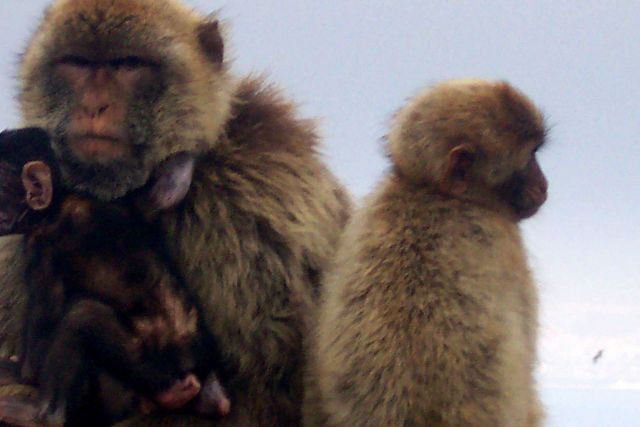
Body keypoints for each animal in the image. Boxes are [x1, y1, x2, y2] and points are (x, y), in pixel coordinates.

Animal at [0, 127, 231, 426]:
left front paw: (16, 369)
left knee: (82, 319)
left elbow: (36, 352)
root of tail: (192, 376)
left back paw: (39, 415)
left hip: (153, 369)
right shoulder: (126, 203)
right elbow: (163, 191)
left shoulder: (42, 253)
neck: (60, 203)